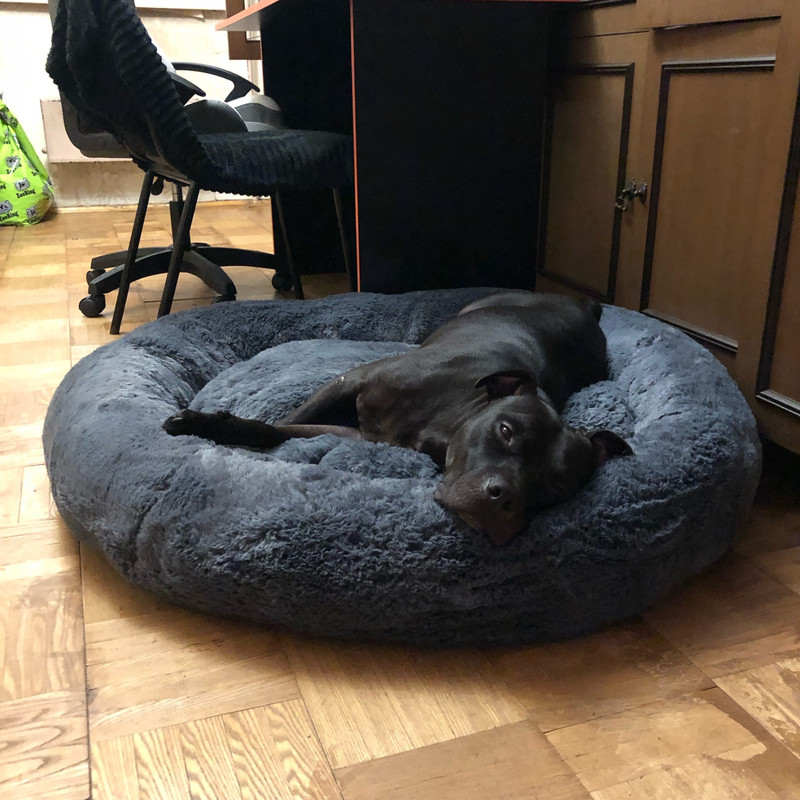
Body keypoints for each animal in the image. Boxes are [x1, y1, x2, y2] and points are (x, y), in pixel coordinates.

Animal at [164, 291, 631, 544]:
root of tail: (585, 305)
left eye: (557, 486)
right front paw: (210, 426)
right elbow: (277, 422)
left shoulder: (357, 435)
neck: (445, 418)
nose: (505, 501)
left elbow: (285, 430)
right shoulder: (348, 383)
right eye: (506, 431)